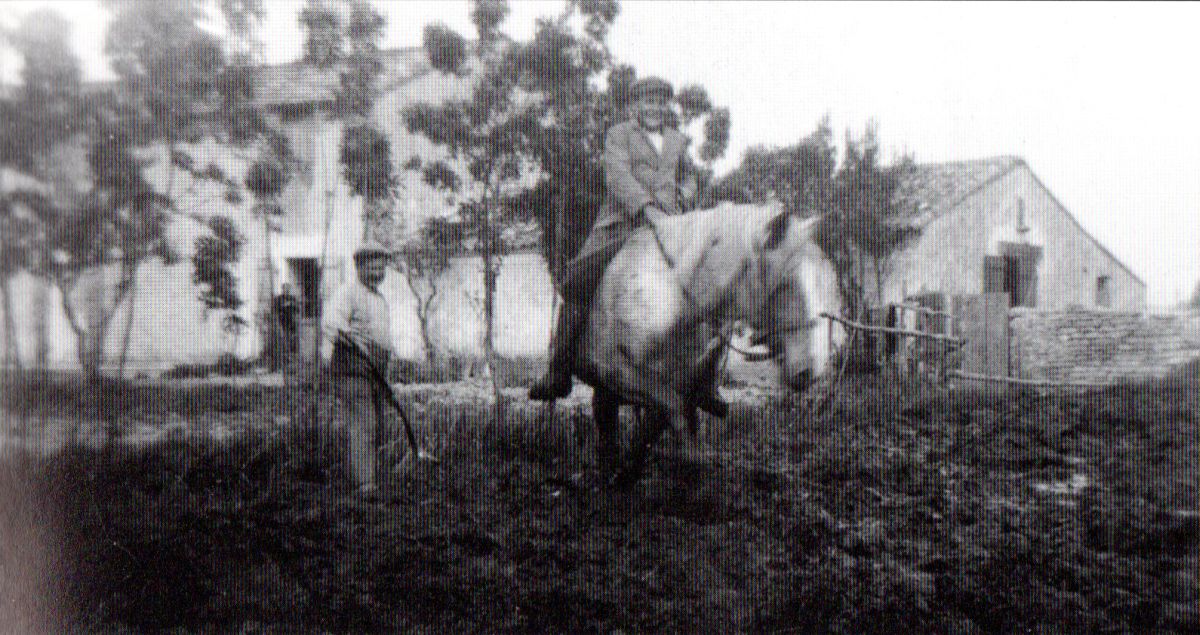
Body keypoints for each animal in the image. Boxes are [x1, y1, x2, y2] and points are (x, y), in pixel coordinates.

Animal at [573, 204, 844, 484]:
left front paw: (636, 470)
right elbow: (671, 407)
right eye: (784, 285)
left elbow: (661, 422)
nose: (812, 370)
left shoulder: (682, 379)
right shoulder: (613, 370)